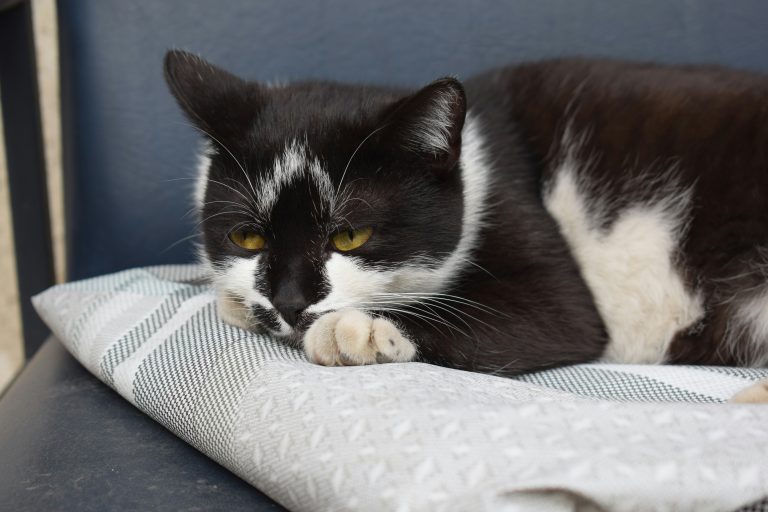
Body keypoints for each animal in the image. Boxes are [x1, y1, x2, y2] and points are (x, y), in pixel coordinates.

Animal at [165, 50, 768, 402]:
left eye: (349, 236)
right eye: (247, 236)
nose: (289, 301)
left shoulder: (530, 232)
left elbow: (556, 317)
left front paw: (359, 328)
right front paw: (236, 300)